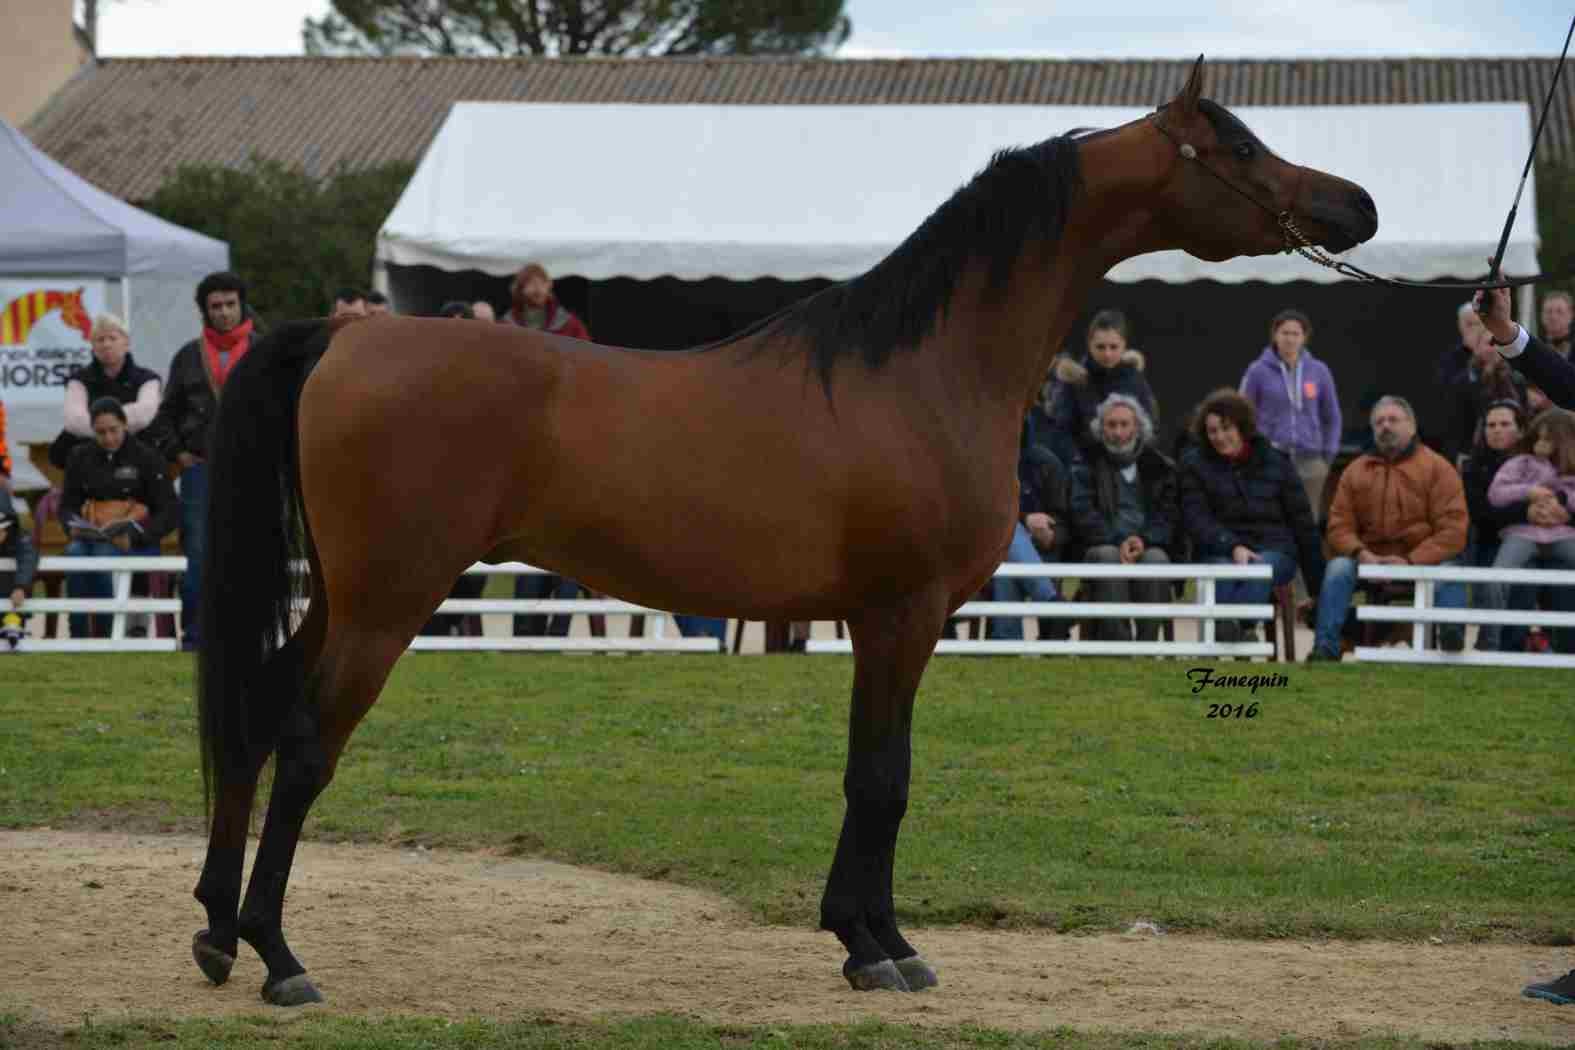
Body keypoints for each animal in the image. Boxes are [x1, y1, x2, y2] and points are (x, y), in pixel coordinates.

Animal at [190, 59, 1373, 1007]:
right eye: (1237, 146)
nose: (1354, 203)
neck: (922, 370)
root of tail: (345, 337)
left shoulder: (872, 621)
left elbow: (869, 772)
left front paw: (860, 937)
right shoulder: (903, 614)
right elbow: (885, 779)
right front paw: (886, 948)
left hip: (342, 594)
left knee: (251, 720)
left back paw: (213, 935)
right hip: (389, 601)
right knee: (304, 743)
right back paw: (278, 958)